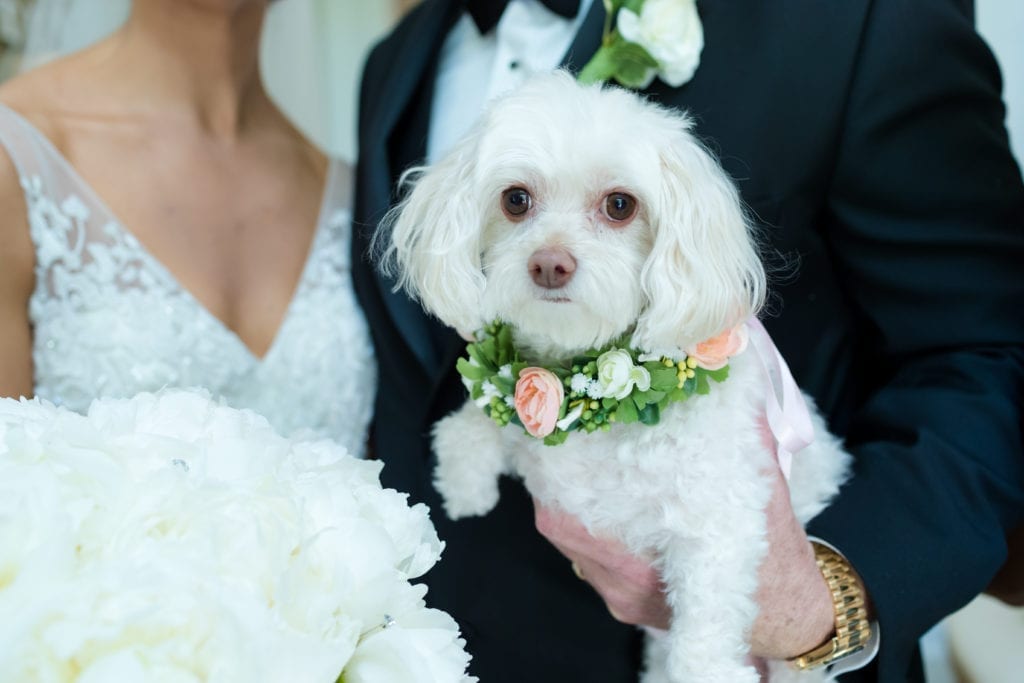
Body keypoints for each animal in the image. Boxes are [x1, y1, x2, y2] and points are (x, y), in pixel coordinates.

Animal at [380, 72, 851, 679]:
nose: (549, 264)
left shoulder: (722, 525)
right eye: (515, 199)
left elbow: (705, 632)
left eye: (620, 205)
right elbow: (470, 425)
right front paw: (466, 487)